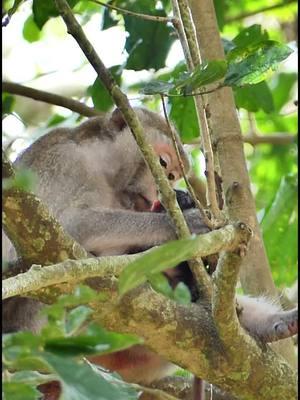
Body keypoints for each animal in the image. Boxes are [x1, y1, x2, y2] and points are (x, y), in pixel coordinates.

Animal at [2, 108, 298, 398]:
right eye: (163, 164)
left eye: (173, 176)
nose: (161, 189)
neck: (105, 172)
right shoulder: (65, 162)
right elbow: (62, 229)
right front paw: (185, 222)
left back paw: (272, 323)